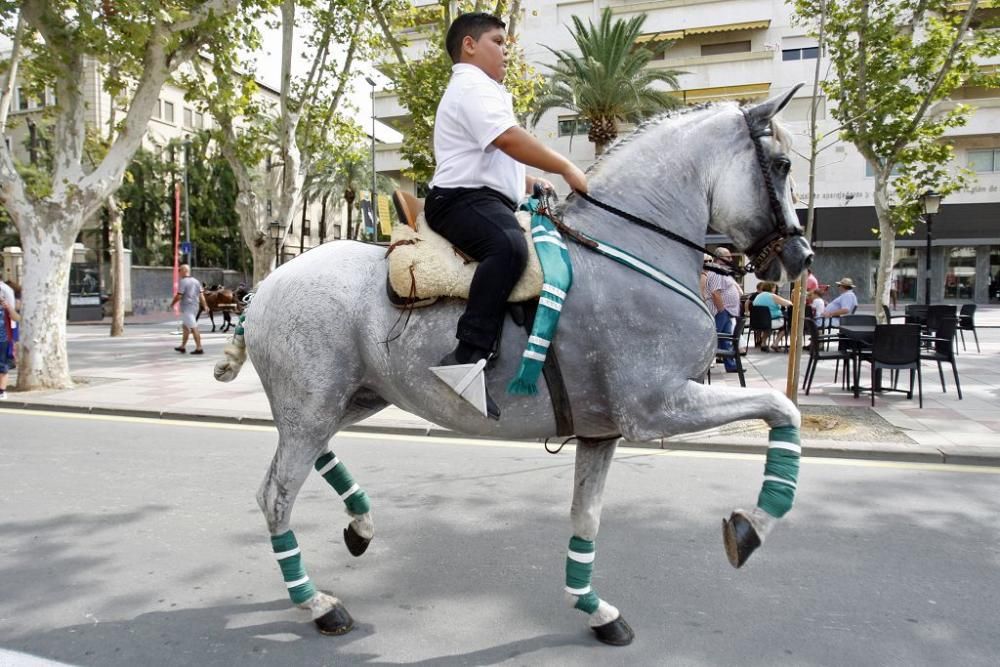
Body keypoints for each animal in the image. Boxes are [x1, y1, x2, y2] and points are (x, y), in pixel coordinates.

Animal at [217, 88, 812, 648]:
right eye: (782, 164)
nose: (802, 257)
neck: (625, 250)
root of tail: (261, 290)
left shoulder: (604, 431)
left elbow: (585, 518)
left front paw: (597, 611)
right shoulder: (656, 407)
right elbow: (782, 408)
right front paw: (753, 525)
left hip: (349, 399)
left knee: (310, 457)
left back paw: (359, 525)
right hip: (315, 405)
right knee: (276, 495)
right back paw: (318, 604)